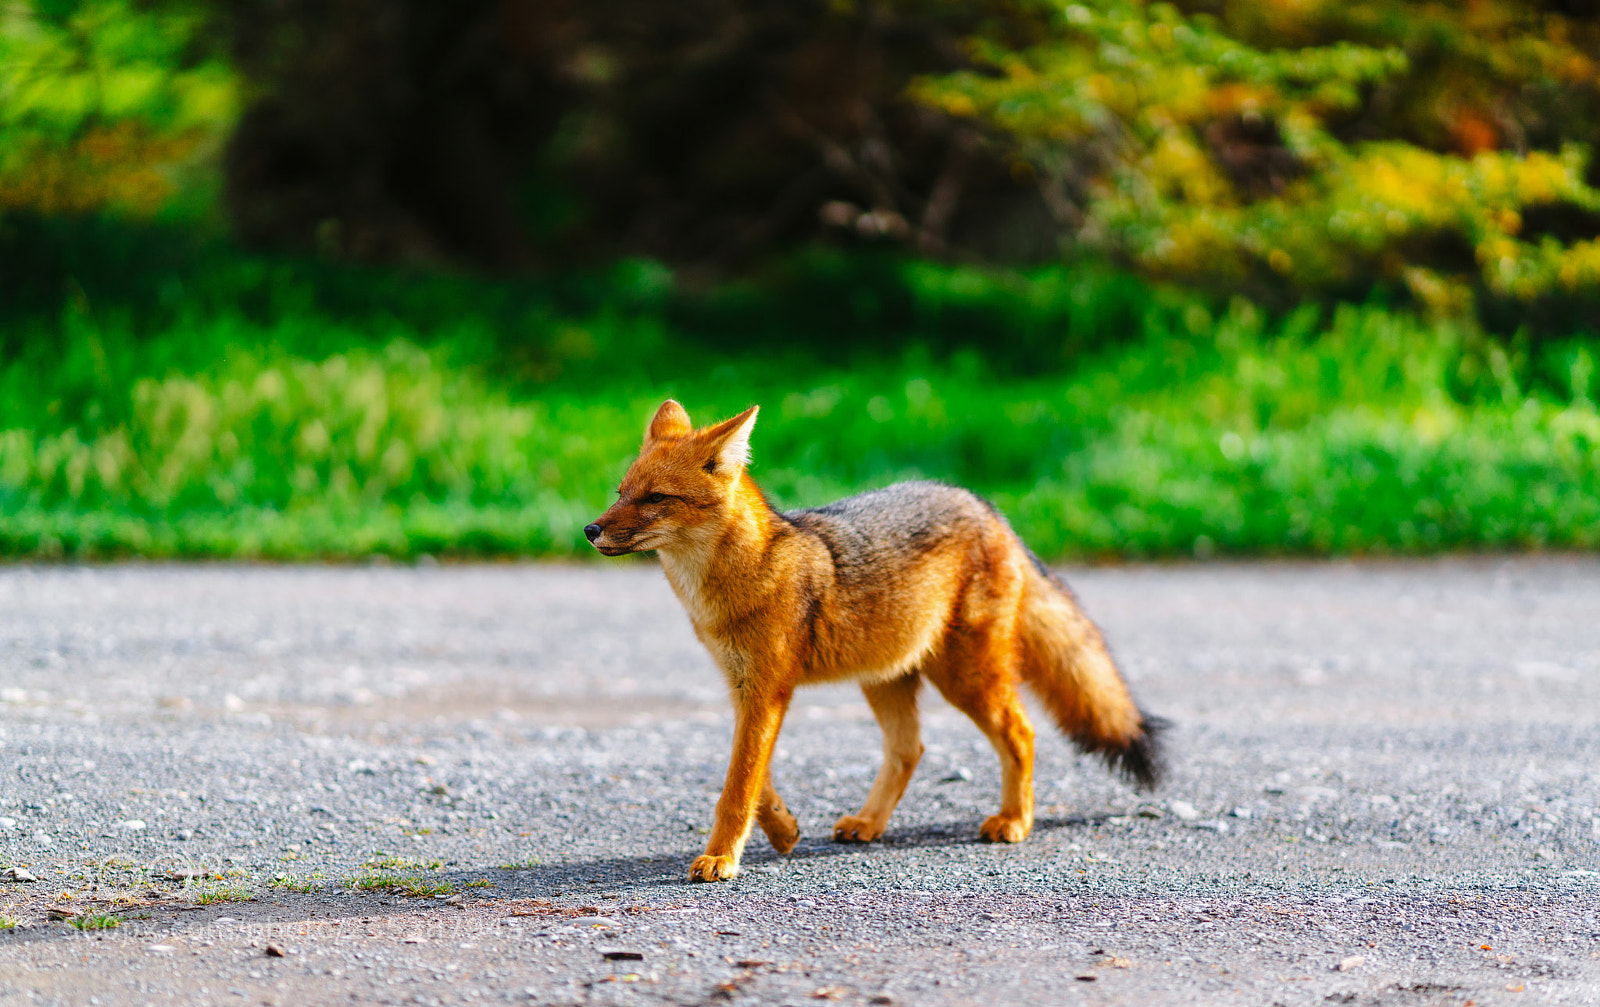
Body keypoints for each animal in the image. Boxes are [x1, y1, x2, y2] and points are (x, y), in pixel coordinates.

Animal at [584, 400, 1165, 882]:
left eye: (656, 498)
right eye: (621, 493)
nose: (590, 530)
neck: (736, 583)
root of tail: (986, 506)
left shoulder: (768, 691)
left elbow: (737, 785)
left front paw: (721, 857)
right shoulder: (745, 688)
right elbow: (755, 778)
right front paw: (783, 830)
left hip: (966, 679)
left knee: (1021, 734)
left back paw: (1014, 820)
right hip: (886, 677)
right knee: (910, 749)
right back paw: (869, 822)